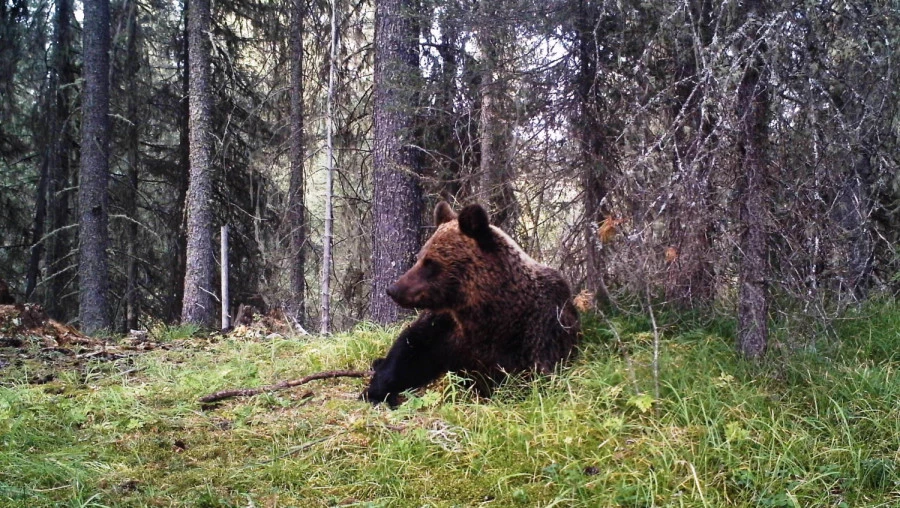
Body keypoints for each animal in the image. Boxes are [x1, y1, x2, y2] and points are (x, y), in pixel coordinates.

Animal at [362, 200, 580, 406]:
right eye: (419, 257)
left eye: (431, 263)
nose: (393, 290)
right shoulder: (446, 326)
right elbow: (410, 352)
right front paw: (377, 390)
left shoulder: (536, 333)